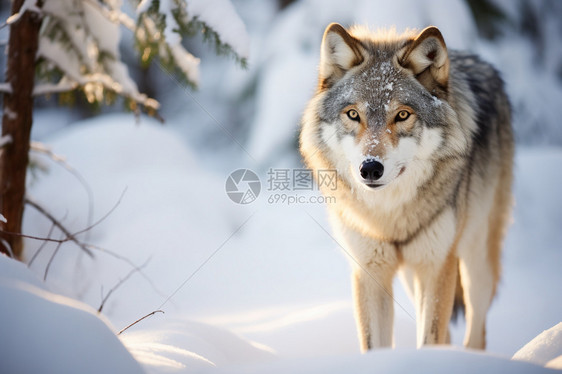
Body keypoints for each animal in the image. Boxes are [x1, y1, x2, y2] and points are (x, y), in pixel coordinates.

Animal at [298, 23, 512, 350]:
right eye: (353, 114)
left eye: (402, 115)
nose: (370, 168)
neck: (389, 217)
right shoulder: (369, 271)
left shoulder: (437, 266)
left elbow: (430, 337)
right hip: (413, 278)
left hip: (475, 261)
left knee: (477, 329)